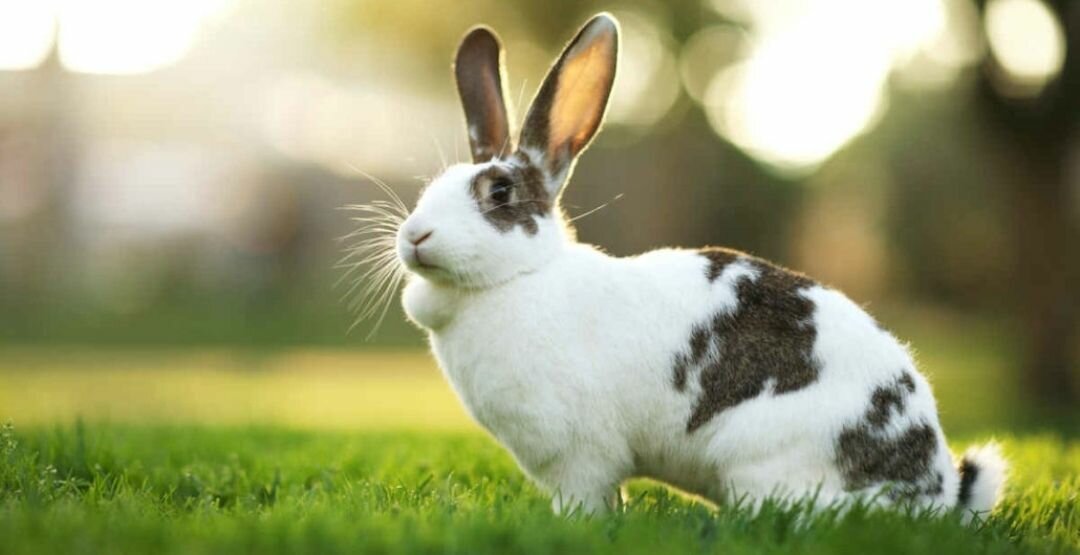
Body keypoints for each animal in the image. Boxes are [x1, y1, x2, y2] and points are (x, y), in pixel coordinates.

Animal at [393, 13, 1007, 519]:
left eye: (499, 192)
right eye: (432, 186)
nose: (414, 235)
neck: (520, 278)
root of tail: (932, 489)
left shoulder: (579, 459)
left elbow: (586, 501)